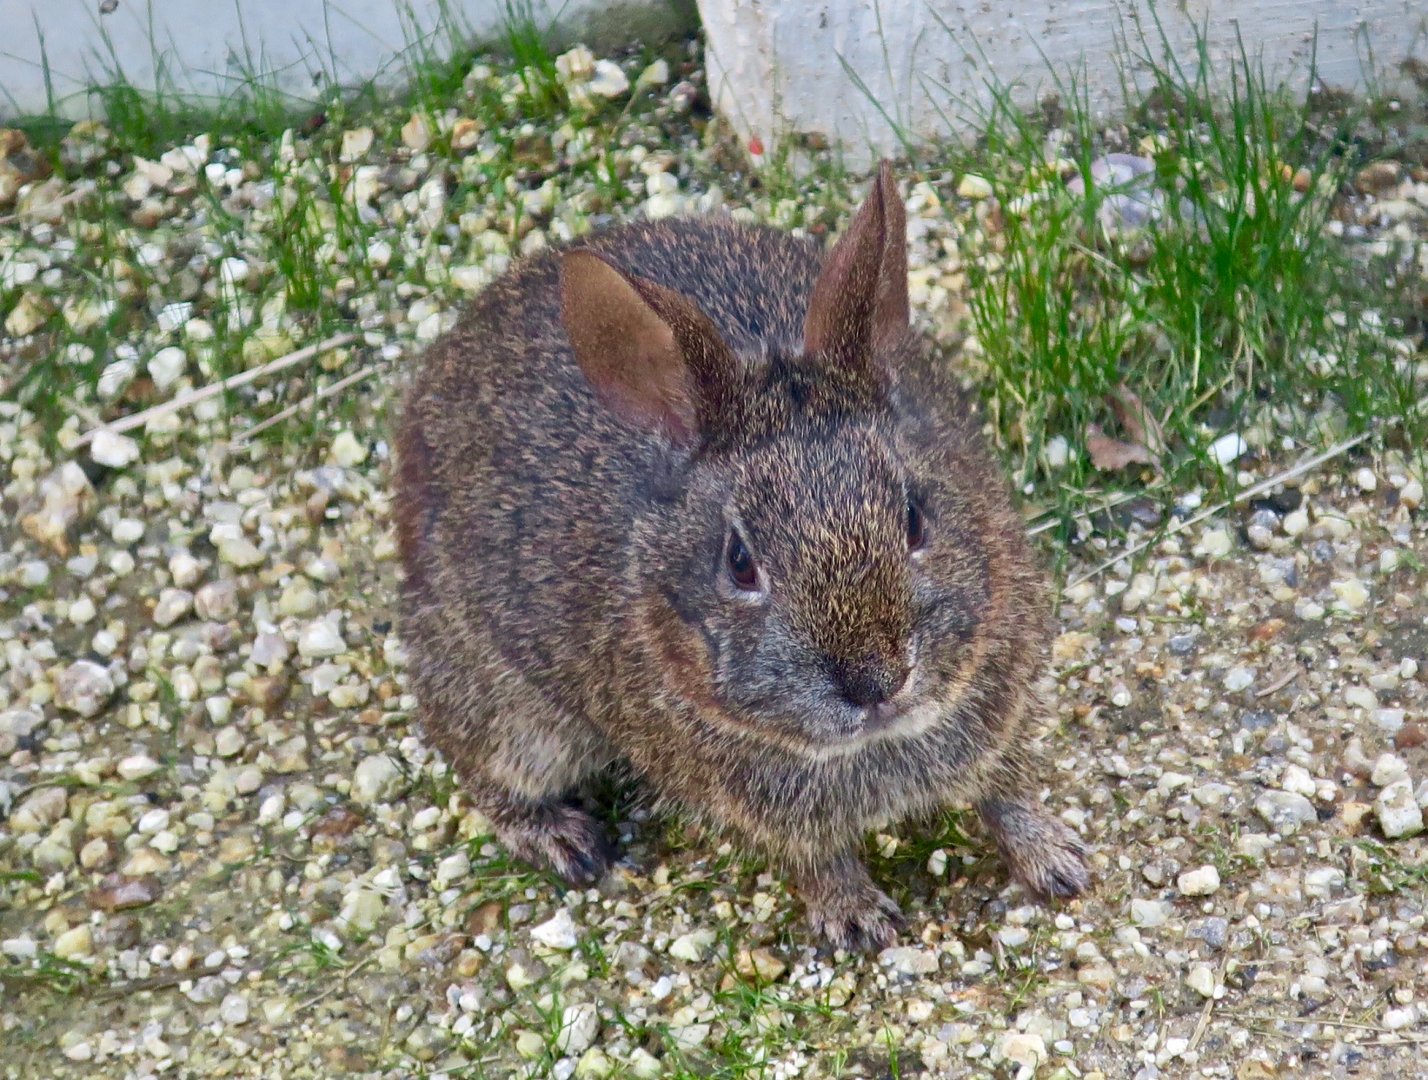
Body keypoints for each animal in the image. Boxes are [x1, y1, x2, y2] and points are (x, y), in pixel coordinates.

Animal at [393, 162, 1089, 951]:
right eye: (739, 563)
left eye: (914, 517)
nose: (875, 682)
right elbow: (816, 856)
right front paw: (856, 920)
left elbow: (1008, 790)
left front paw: (1057, 859)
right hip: (505, 701)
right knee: (485, 768)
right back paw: (561, 839)